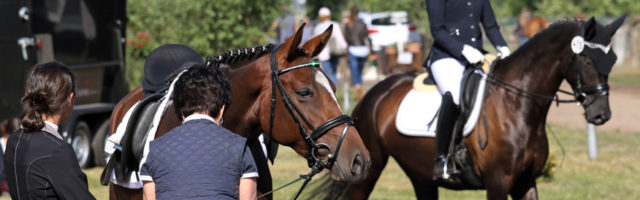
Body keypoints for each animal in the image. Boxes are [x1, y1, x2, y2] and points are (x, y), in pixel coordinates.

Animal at [344, 16, 624, 200]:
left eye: (612, 60)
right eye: (588, 61)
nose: (601, 114)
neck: (517, 105)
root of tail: (375, 93)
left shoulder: (526, 182)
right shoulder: (498, 182)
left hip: (420, 176)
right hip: (368, 171)